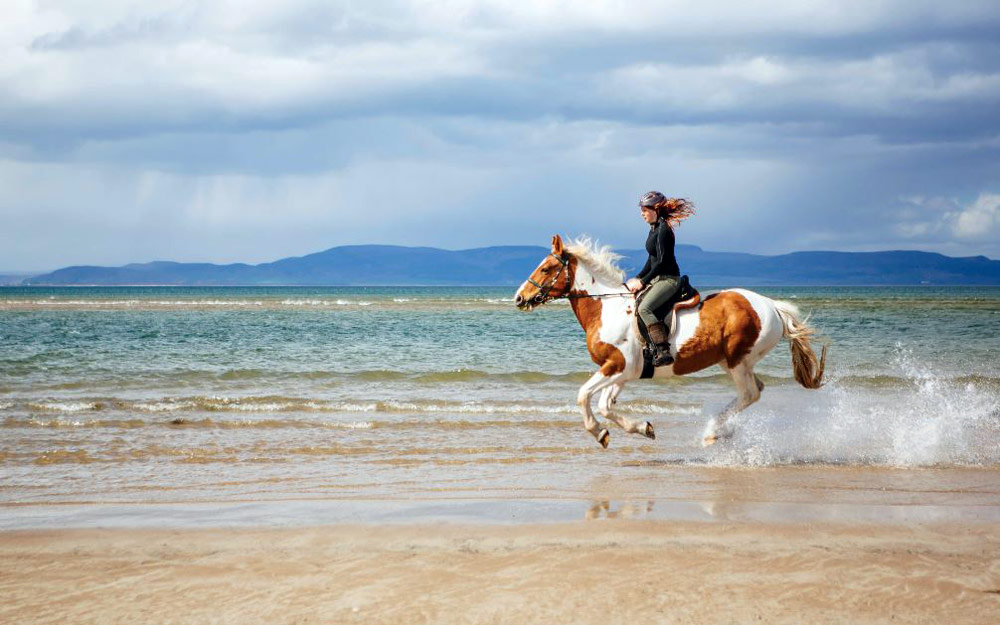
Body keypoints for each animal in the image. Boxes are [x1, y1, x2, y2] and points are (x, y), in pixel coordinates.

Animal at [516, 235, 828, 448]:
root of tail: (773, 306)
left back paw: (712, 432)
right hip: (734, 362)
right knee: (755, 390)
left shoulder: (616, 366)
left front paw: (599, 433)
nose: (519, 298)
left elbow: (583, 395)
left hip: (737, 360)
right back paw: (722, 429)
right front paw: (643, 428)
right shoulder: (624, 371)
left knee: (750, 393)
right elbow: (606, 405)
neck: (606, 308)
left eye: (546, 269)